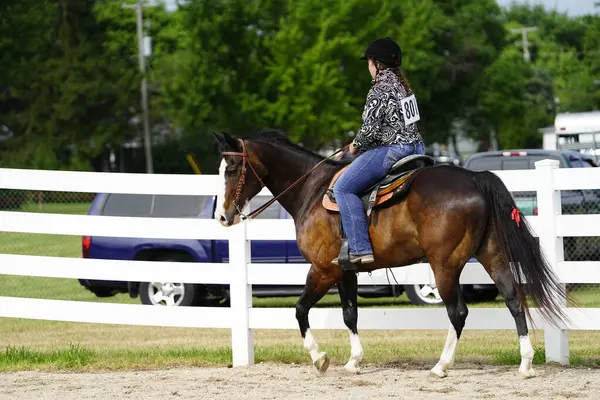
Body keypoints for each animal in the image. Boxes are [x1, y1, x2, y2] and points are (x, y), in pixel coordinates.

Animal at [213, 130, 568, 378]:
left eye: (231, 168)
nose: (223, 216)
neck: (312, 192)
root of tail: (476, 179)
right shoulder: (345, 271)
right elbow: (350, 314)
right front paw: (353, 362)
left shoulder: (322, 269)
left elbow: (300, 311)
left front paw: (319, 358)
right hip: (492, 255)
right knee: (513, 299)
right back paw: (525, 365)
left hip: (444, 265)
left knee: (458, 312)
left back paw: (441, 365)